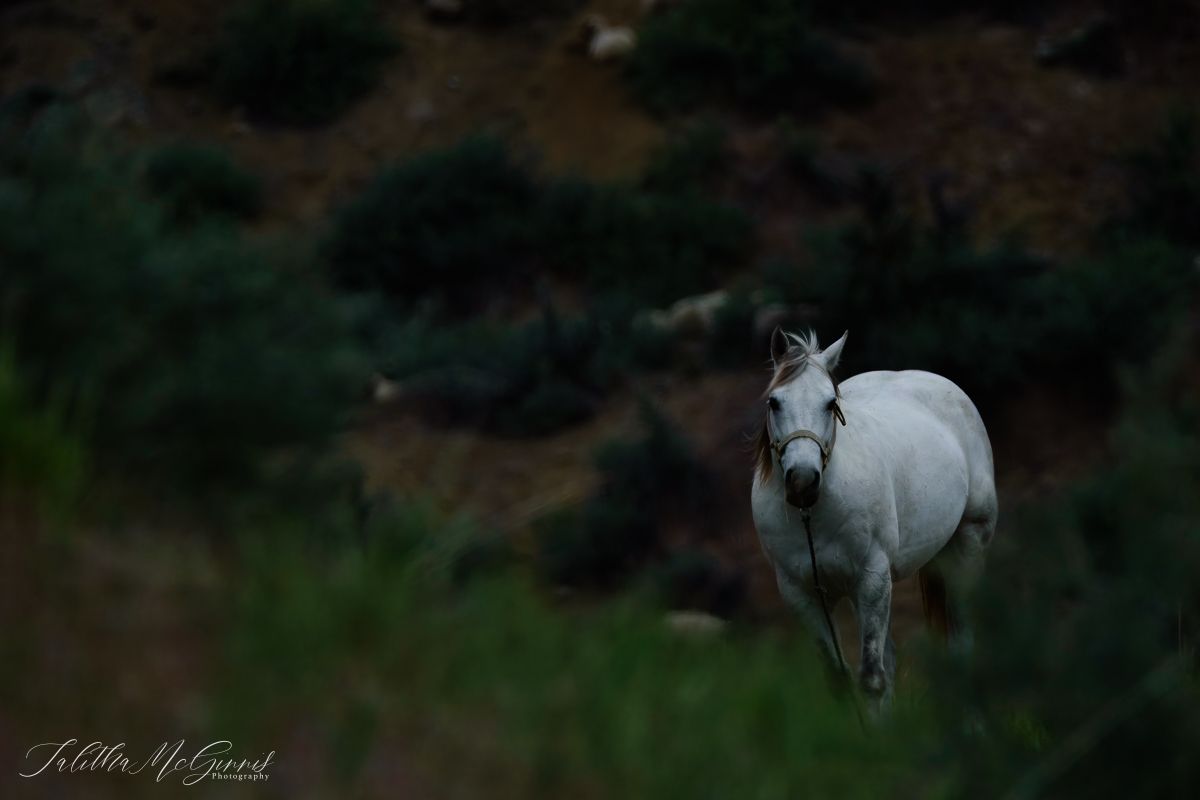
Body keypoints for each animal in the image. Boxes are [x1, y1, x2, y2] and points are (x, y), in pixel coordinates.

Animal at [751, 328, 997, 709]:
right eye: (774, 402)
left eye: (830, 404)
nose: (803, 481)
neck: (815, 516)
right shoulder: (802, 593)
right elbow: (840, 678)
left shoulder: (871, 578)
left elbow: (871, 678)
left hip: (967, 547)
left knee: (961, 646)